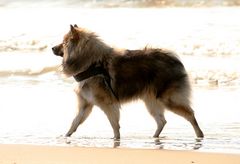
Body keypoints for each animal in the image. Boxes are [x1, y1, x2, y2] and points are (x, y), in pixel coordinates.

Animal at [51, 24, 203, 139]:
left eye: (63, 43)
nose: (52, 48)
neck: (91, 63)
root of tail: (175, 60)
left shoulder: (107, 104)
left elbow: (114, 124)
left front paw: (116, 139)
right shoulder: (86, 104)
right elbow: (75, 122)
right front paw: (66, 135)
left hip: (168, 99)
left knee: (190, 114)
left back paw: (199, 135)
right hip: (151, 102)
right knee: (162, 121)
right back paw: (154, 137)